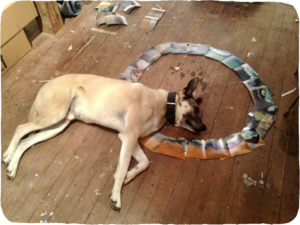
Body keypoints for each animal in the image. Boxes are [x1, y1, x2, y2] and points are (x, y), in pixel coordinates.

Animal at [2, 74, 206, 211]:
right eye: (196, 109)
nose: (204, 128)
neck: (164, 105)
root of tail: (46, 84)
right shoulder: (130, 136)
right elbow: (123, 168)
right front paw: (117, 195)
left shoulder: (127, 137)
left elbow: (144, 163)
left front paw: (129, 176)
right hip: (54, 115)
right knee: (21, 129)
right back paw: (8, 154)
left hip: (58, 124)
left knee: (27, 141)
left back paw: (12, 167)